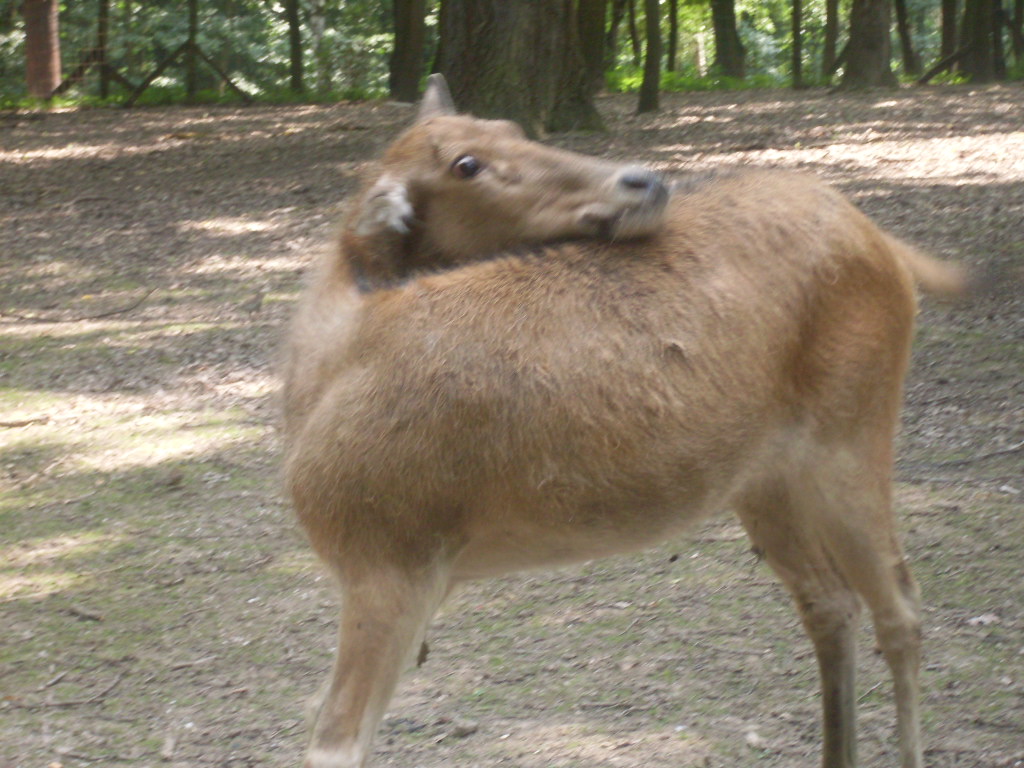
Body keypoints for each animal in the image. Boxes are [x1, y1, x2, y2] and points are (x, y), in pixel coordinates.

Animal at [282, 74, 966, 768]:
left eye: (509, 124)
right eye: (465, 164)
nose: (642, 181)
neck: (319, 375)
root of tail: (882, 240)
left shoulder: (387, 555)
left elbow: (335, 740)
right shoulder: (401, 566)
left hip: (851, 431)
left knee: (901, 606)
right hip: (765, 478)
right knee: (829, 602)